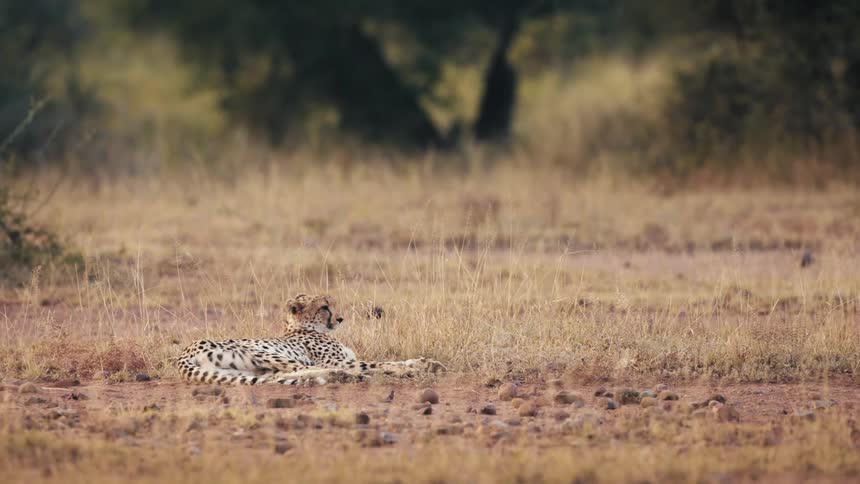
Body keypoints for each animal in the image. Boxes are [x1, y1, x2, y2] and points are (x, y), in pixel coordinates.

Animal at [175, 294, 445, 385]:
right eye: (325, 307)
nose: (340, 318)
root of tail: (185, 352)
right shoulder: (336, 360)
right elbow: (380, 363)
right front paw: (412, 368)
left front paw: (426, 363)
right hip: (266, 353)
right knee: (300, 371)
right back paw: (346, 376)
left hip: (242, 370)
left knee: (276, 377)